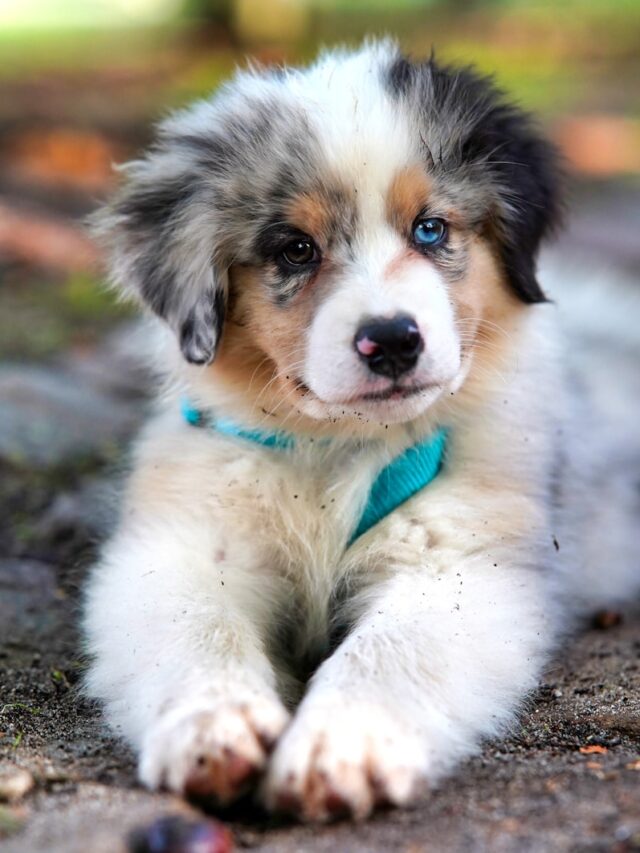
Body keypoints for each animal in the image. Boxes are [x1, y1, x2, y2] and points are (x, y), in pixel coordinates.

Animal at [82, 43, 636, 824]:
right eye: (295, 249)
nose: (393, 340)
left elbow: (391, 651)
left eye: (431, 229)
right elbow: (194, 628)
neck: (336, 449)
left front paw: (339, 747)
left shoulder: (464, 564)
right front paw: (212, 726)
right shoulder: (178, 545)